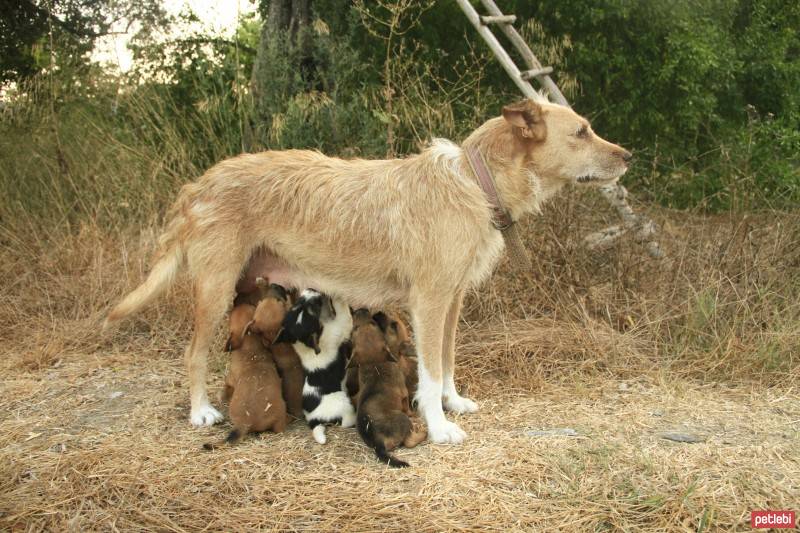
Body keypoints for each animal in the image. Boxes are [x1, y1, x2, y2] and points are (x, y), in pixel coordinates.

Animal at [276, 288, 354, 442]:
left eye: (297, 303)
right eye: (313, 309)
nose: (311, 289)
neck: (305, 345)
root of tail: (314, 420)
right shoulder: (340, 328)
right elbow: (342, 310)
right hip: (343, 404)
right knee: (346, 422)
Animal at [350, 314, 424, 468]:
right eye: (394, 325)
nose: (377, 313)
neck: (375, 362)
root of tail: (378, 444)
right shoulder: (404, 394)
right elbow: (408, 408)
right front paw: (414, 414)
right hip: (403, 419)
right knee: (410, 441)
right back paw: (424, 432)